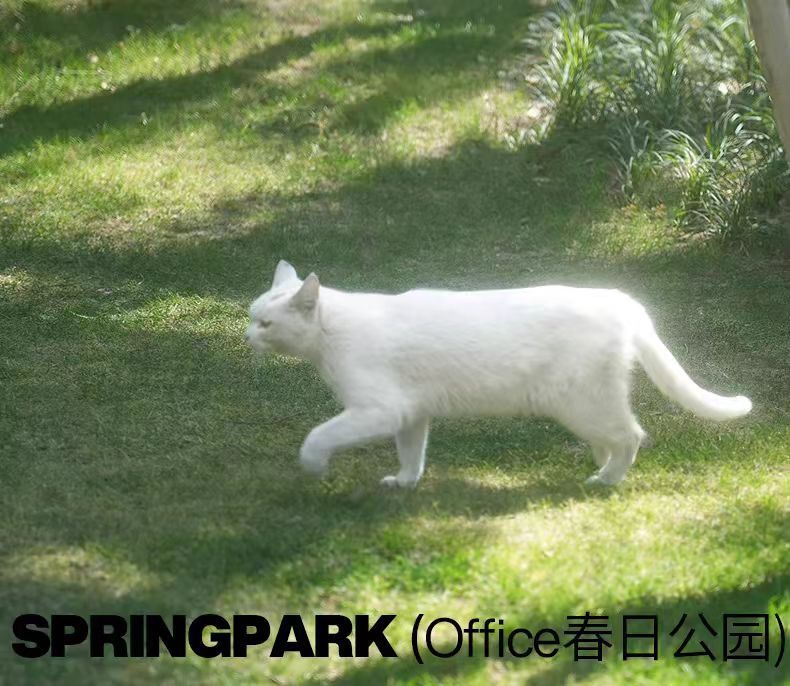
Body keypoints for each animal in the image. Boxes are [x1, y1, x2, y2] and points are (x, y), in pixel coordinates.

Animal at [246, 260, 752, 487]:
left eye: (265, 323)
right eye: (253, 316)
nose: (248, 334)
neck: (332, 334)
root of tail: (620, 299)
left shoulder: (379, 410)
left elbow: (318, 435)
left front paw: (313, 467)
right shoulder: (410, 414)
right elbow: (412, 455)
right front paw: (405, 483)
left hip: (581, 403)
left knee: (632, 436)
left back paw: (605, 482)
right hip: (590, 406)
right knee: (615, 438)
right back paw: (601, 469)